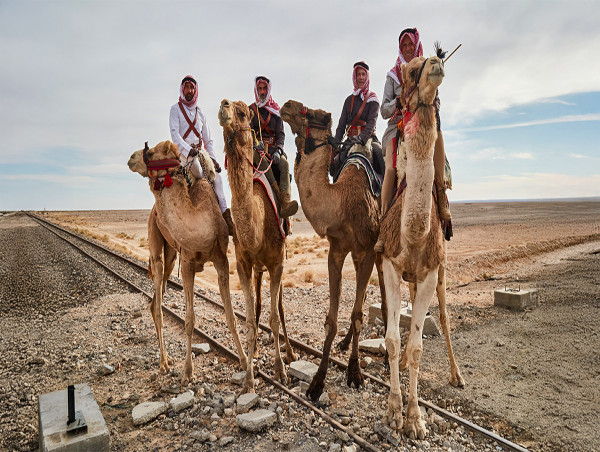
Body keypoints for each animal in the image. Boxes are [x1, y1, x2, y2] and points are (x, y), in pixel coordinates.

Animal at [127, 141, 247, 384]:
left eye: (150, 152)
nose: (131, 158)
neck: (201, 222)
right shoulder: (187, 264)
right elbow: (189, 321)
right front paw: (187, 372)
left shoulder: (221, 260)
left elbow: (231, 317)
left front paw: (247, 366)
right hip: (156, 241)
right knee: (158, 303)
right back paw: (164, 363)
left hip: (172, 256)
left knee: (155, 301)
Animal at [218, 100, 298, 394]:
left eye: (243, 113)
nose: (224, 106)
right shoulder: (243, 265)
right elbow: (251, 319)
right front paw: (249, 379)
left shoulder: (278, 263)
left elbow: (274, 317)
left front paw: (281, 370)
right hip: (257, 269)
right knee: (261, 304)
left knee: (280, 308)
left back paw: (290, 352)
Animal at [278, 100, 386, 400]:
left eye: (316, 114)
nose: (286, 105)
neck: (341, 203)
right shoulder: (336, 251)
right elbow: (332, 320)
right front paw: (317, 381)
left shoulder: (367, 250)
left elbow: (358, 316)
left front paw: (355, 373)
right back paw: (347, 342)